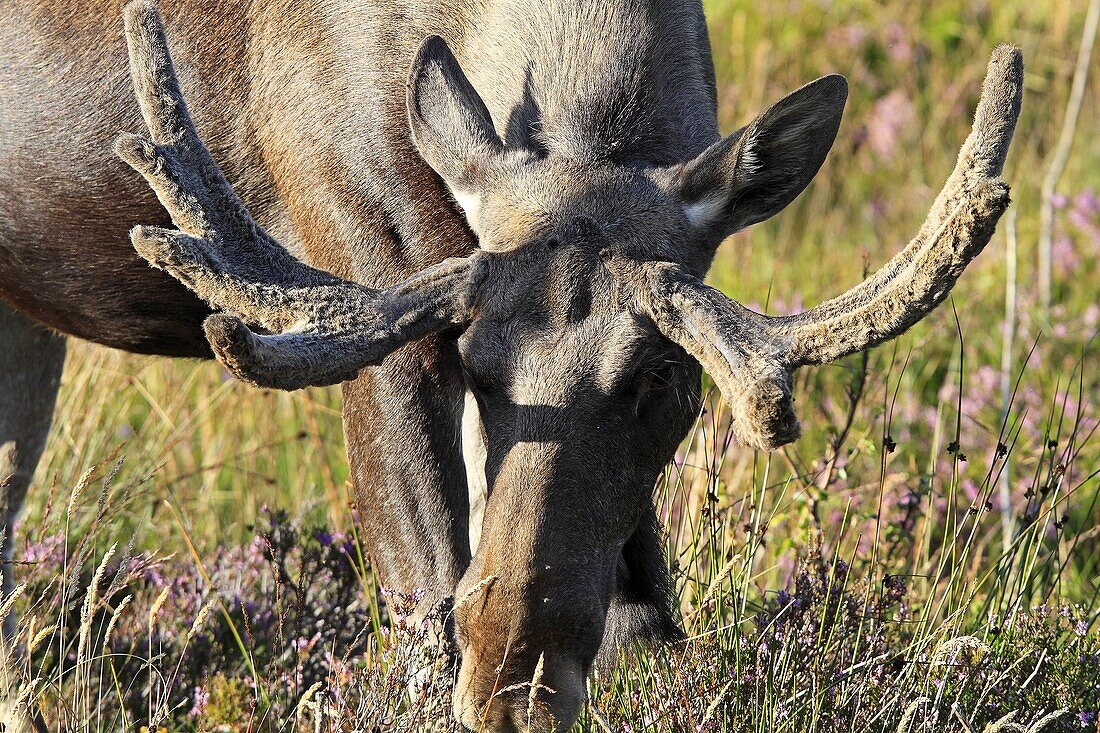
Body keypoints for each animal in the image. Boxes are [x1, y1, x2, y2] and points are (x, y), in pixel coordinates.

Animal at [0, 0, 1020, 726]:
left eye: (661, 380)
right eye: (474, 360)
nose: (514, 687)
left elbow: (647, 618)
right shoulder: (376, 286)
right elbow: (423, 601)